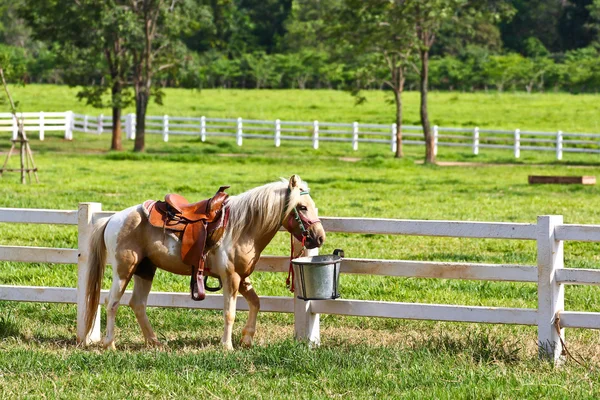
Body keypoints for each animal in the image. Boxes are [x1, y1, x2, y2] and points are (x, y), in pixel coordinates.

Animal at [80, 175, 326, 350]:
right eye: (302, 207)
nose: (320, 238)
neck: (242, 227)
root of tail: (113, 218)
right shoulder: (231, 277)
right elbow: (230, 312)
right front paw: (227, 346)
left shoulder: (243, 277)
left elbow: (256, 303)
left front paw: (247, 339)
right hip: (124, 270)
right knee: (111, 302)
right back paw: (110, 344)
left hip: (145, 270)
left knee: (137, 304)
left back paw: (154, 342)